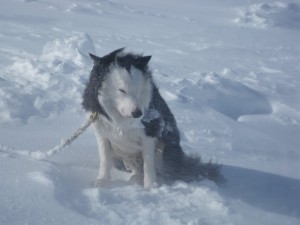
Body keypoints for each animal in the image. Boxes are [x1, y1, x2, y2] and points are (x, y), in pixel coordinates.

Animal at [82, 48, 223, 189]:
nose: (137, 113)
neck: (122, 120)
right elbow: (105, 159)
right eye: (122, 90)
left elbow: (149, 164)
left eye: (138, 89)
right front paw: (103, 180)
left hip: (166, 148)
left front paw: (151, 187)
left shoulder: (150, 132)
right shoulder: (102, 133)